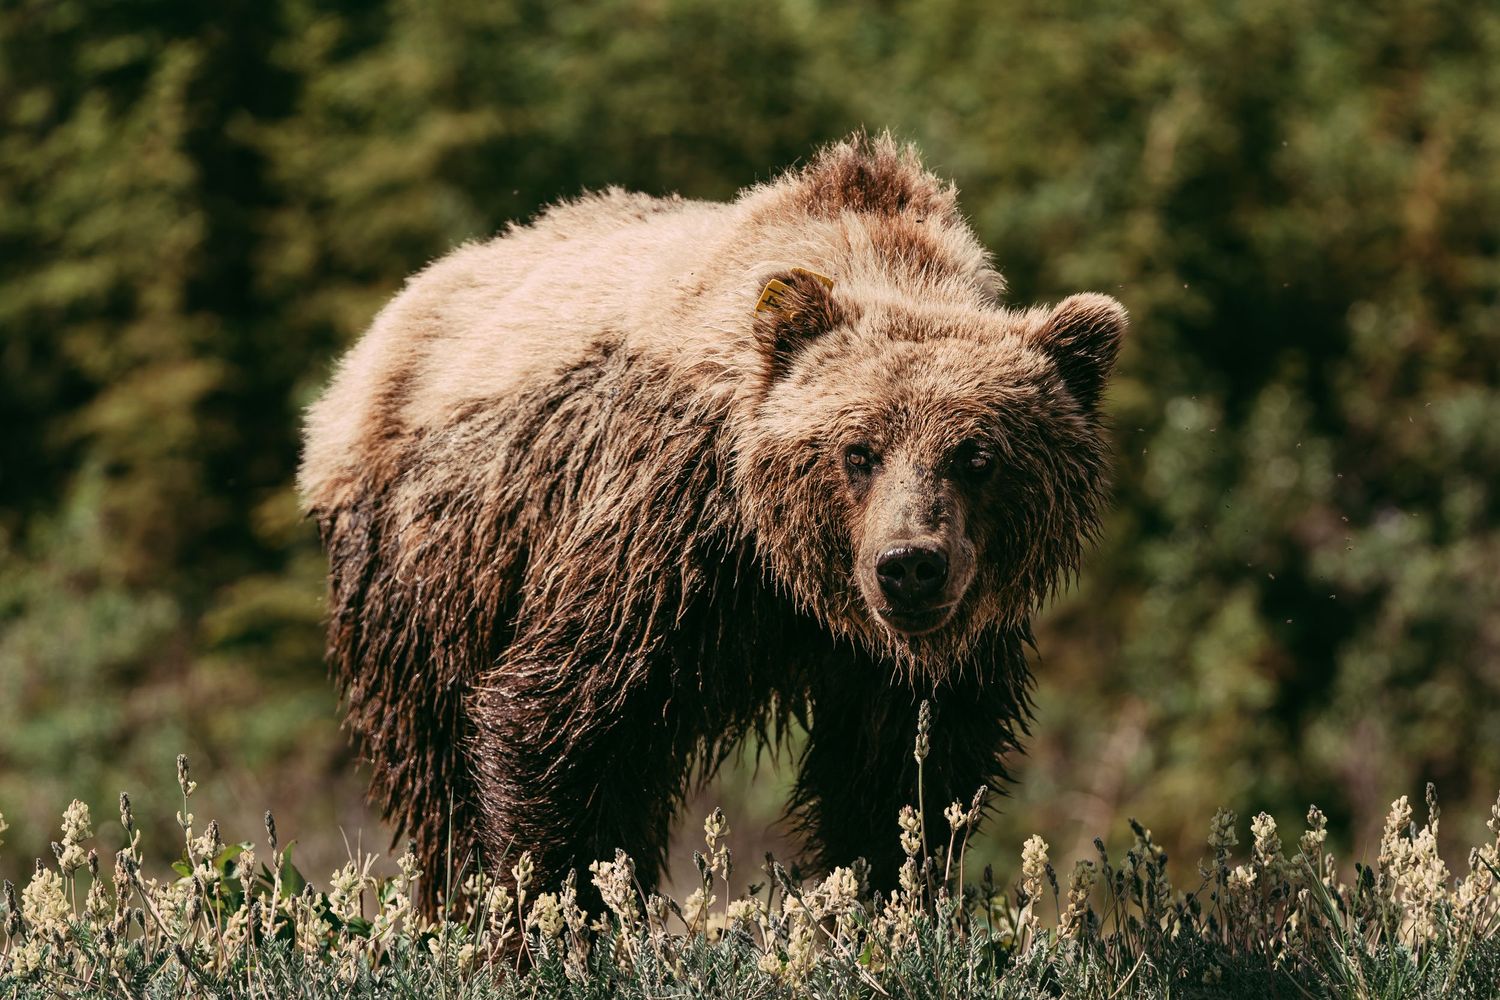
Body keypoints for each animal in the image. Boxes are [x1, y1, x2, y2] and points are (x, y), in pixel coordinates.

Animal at [299, 132, 1125, 914]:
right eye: (858, 451)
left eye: (977, 456)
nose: (910, 563)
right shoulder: (665, 534)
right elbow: (559, 721)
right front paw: (551, 911)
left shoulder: (926, 657)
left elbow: (903, 778)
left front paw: (887, 901)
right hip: (429, 570)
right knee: (436, 762)